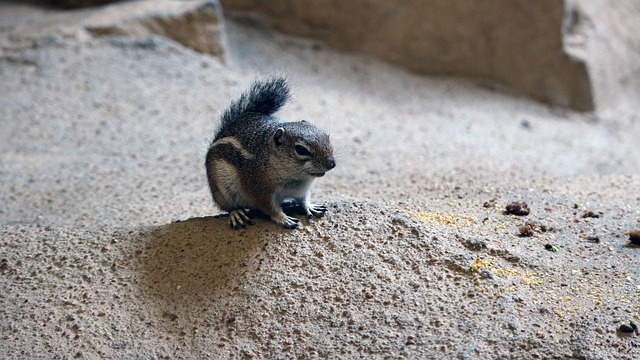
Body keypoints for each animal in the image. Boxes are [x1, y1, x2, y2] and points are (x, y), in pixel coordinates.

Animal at [206, 75, 338, 231]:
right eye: (301, 149)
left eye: (326, 137)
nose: (332, 164)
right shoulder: (260, 190)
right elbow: (269, 208)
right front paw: (283, 218)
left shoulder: (302, 190)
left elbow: (303, 199)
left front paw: (310, 206)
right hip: (222, 190)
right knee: (228, 206)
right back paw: (236, 213)